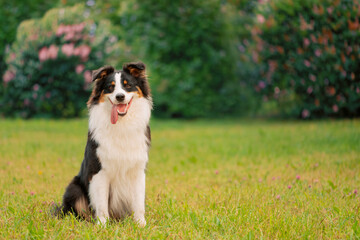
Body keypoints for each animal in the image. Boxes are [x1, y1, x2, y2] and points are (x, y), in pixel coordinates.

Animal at [55, 62, 152, 227]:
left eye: (128, 85)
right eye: (110, 87)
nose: (120, 96)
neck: (121, 124)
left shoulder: (138, 170)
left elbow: (138, 203)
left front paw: (141, 224)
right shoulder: (98, 171)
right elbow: (101, 203)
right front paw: (102, 225)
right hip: (74, 187)